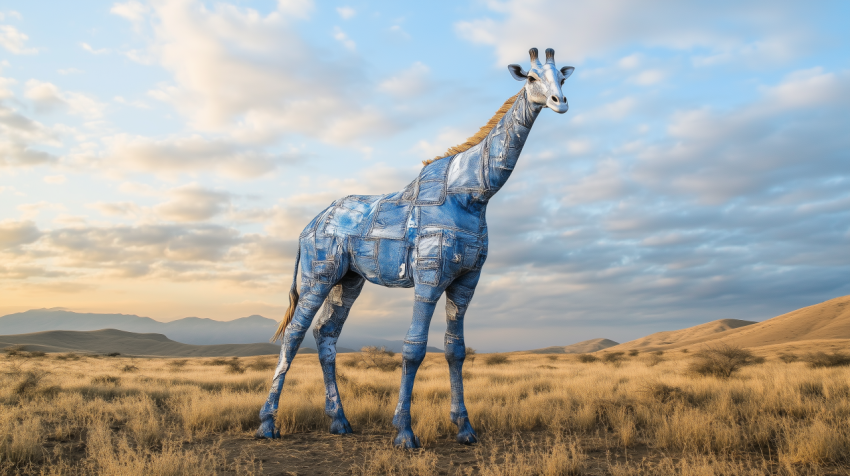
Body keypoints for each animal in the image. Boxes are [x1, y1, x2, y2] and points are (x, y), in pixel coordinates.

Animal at [255, 46, 572, 448]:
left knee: (326, 334)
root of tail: (308, 226)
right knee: (294, 335)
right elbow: (413, 348)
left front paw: (465, 428)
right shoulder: (429, 275)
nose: (560, 102)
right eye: (531, 78)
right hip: (318, 275)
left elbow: (455, 350)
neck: (473, 195)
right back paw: (268, 424)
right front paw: (404, 432)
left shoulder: (467, 280)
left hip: (349, 280)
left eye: (561, 78)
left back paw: (340, 420)